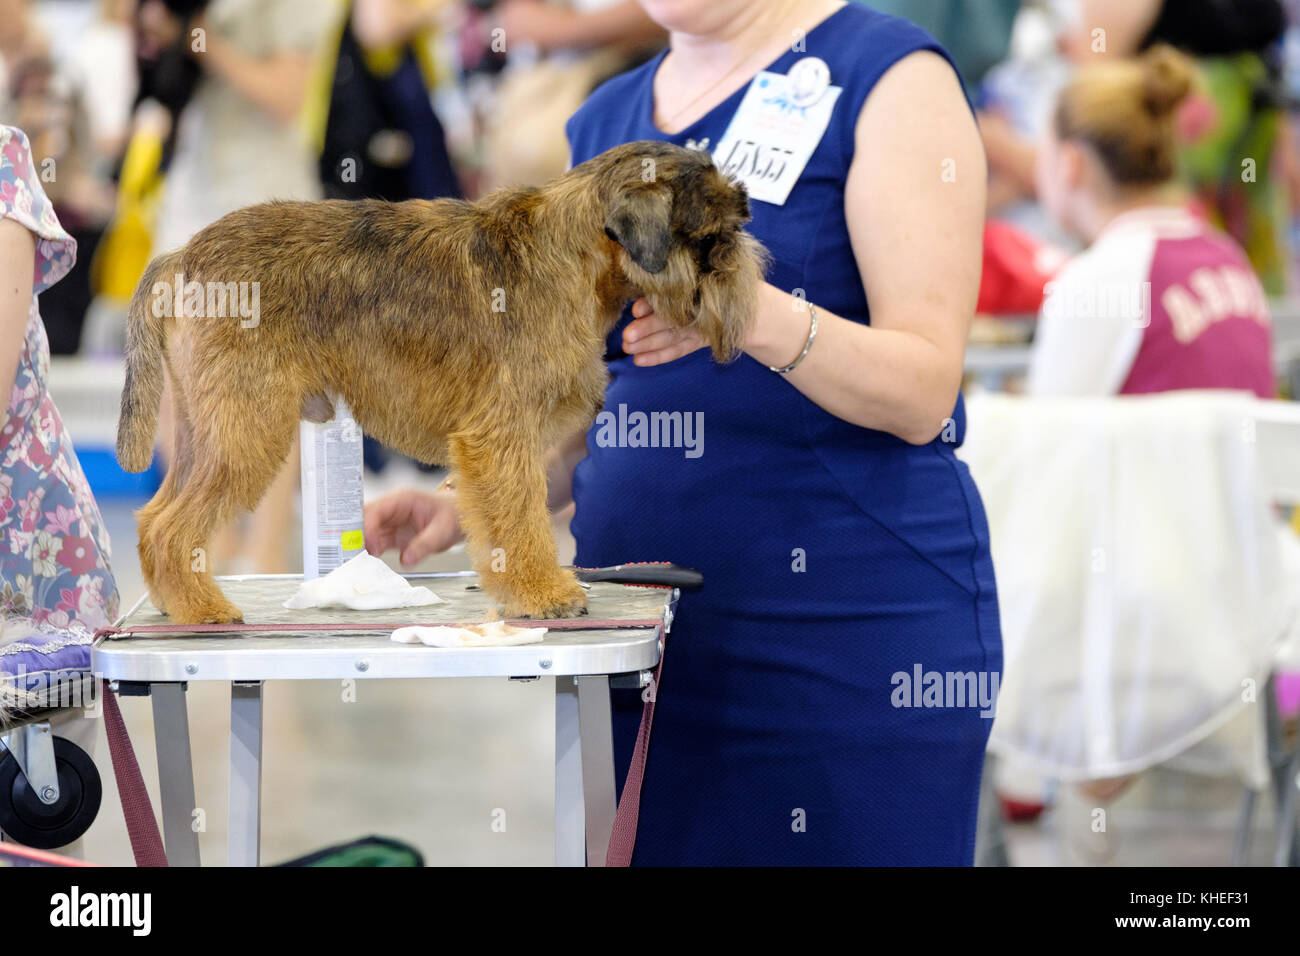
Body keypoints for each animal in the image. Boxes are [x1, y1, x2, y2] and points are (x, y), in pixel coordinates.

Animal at [116, 140, 764, 621]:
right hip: (244, 432)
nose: (748, 272)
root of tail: (181, 256)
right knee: (172, 527)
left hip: (205, 430)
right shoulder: (501, 438)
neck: (572, 252)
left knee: (152, 519)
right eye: (710, 236)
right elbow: (521, 519)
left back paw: (176, 602)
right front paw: (542, 593)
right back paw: (202, 608)